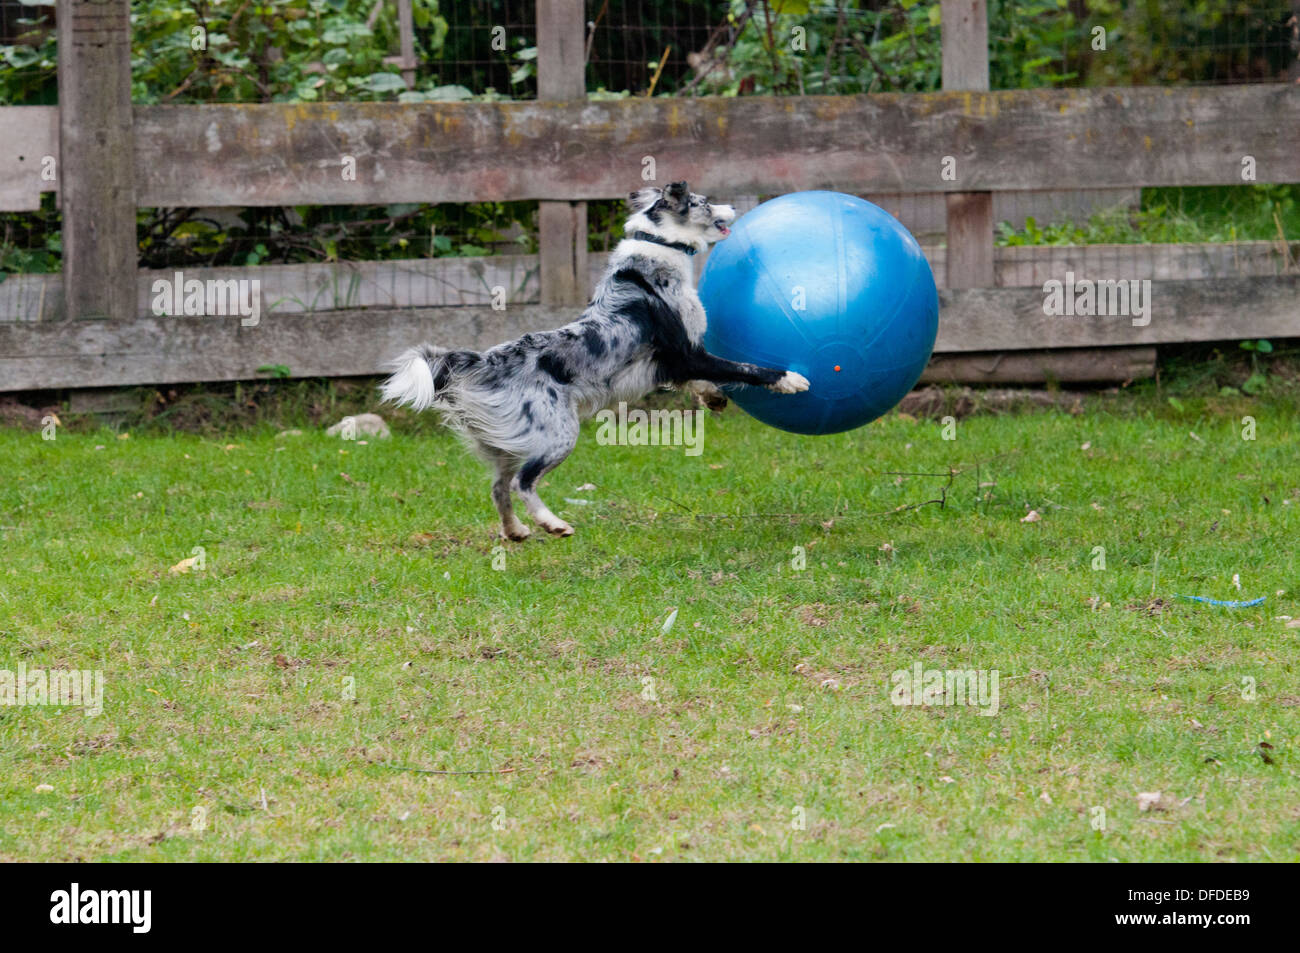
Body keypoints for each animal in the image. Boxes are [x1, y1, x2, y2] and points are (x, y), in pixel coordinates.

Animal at [382, 182, 811, 538]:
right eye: (703, 202)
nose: (734, 205)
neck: (659, 246)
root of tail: (486, 360)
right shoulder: (687, 354)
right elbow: (745, 369)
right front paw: (789, 379)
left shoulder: (675, 363)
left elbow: (706, 380)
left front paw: (714, 397)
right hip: (559, 434)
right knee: (523, 481)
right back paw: (552, 523)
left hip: (506, 442)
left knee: (499, 487)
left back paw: (515, 530)